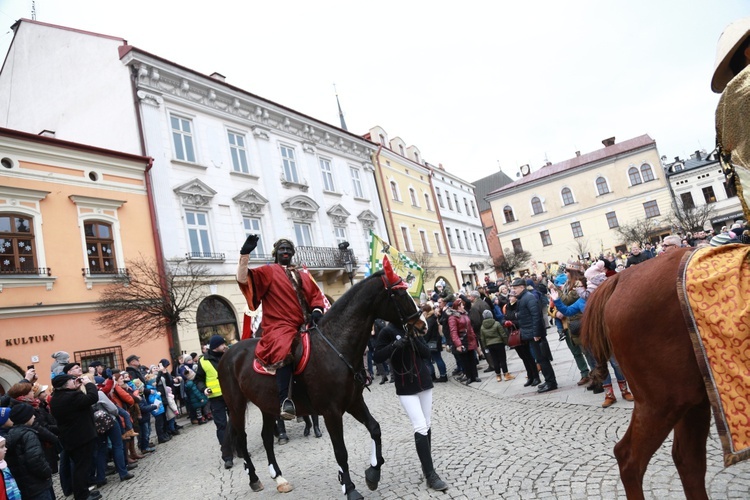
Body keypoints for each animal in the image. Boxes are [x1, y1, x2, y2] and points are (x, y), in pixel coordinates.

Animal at [220, 264, 426, 498]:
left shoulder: (354, 402)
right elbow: (341, 451)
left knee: (266, 438)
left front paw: (373, 473)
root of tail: (229, 352)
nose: (422, 325)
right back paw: (254, 479)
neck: (335, 345)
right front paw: (350, 488)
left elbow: (375, 428)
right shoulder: (331, 412)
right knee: (242, 440)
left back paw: (279, 478)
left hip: (267, 406)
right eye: (400, 294)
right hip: (236, 406)